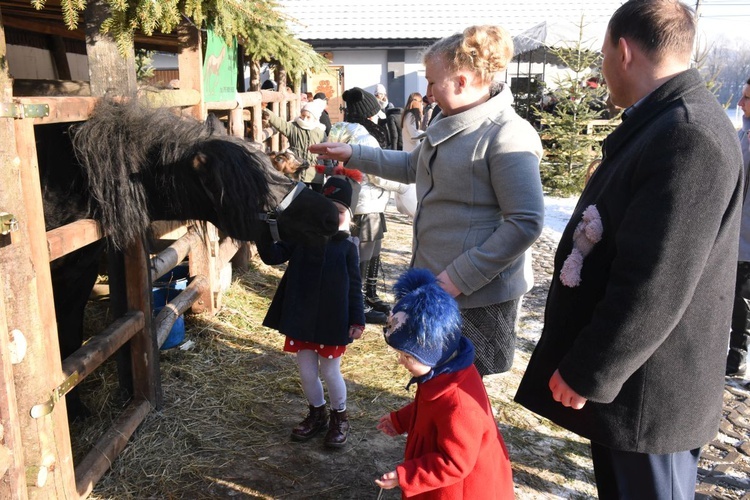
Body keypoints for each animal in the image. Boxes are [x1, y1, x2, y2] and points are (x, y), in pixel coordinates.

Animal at [37, 98, 338, 418]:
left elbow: (71, 346)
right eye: (252, 186)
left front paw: (76, 409)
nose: (331, 215)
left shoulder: (80, 273)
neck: (71, 182)